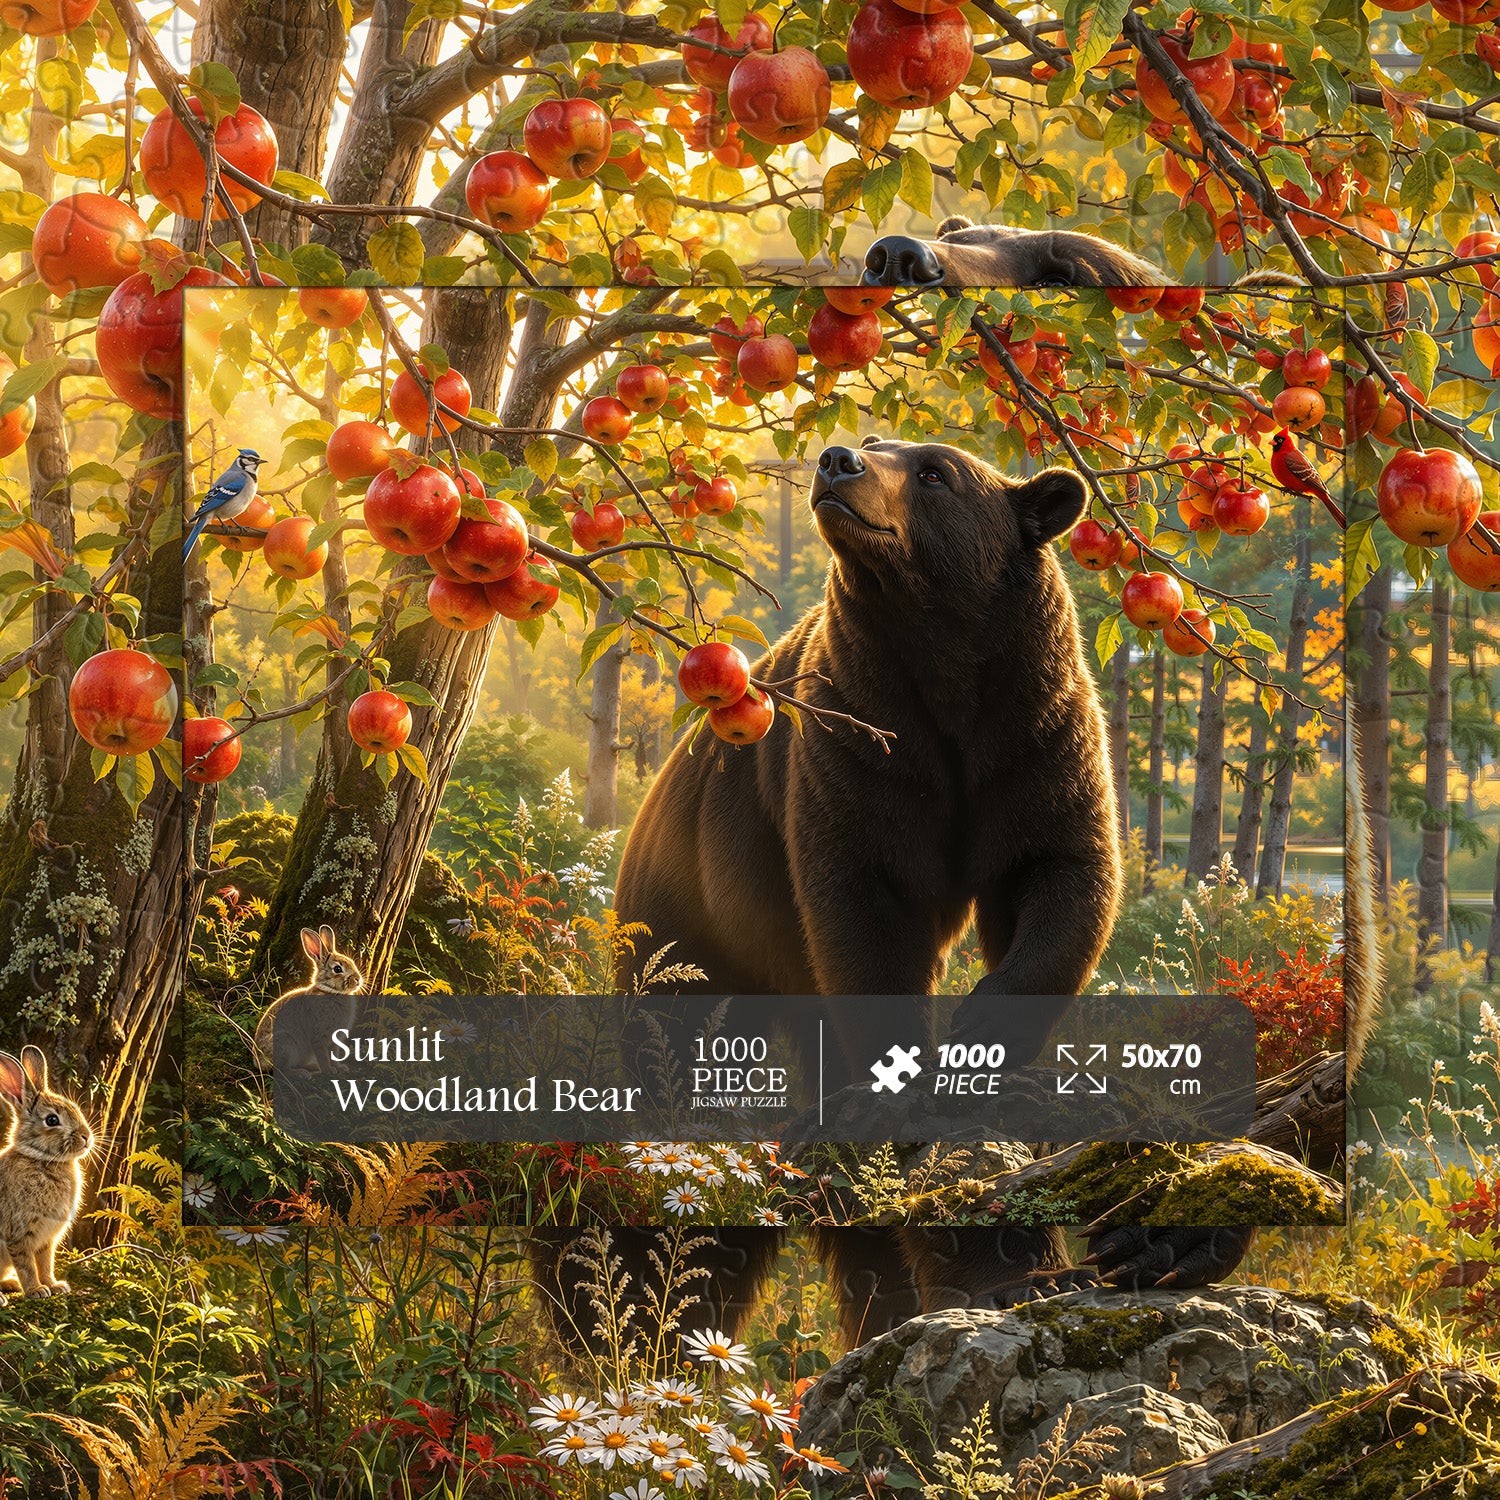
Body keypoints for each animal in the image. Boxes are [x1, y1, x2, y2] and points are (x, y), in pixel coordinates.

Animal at [532, 438, 1254, 1351]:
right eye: (877, 445)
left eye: (935, 471)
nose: (837, 460)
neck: (941, 664)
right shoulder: (857, 748)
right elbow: (863, 914)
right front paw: (903, 1088)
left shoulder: (1036, 738)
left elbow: (1063, 882)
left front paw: (983, 1055)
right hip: (687, 916)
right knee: (676, 1035)